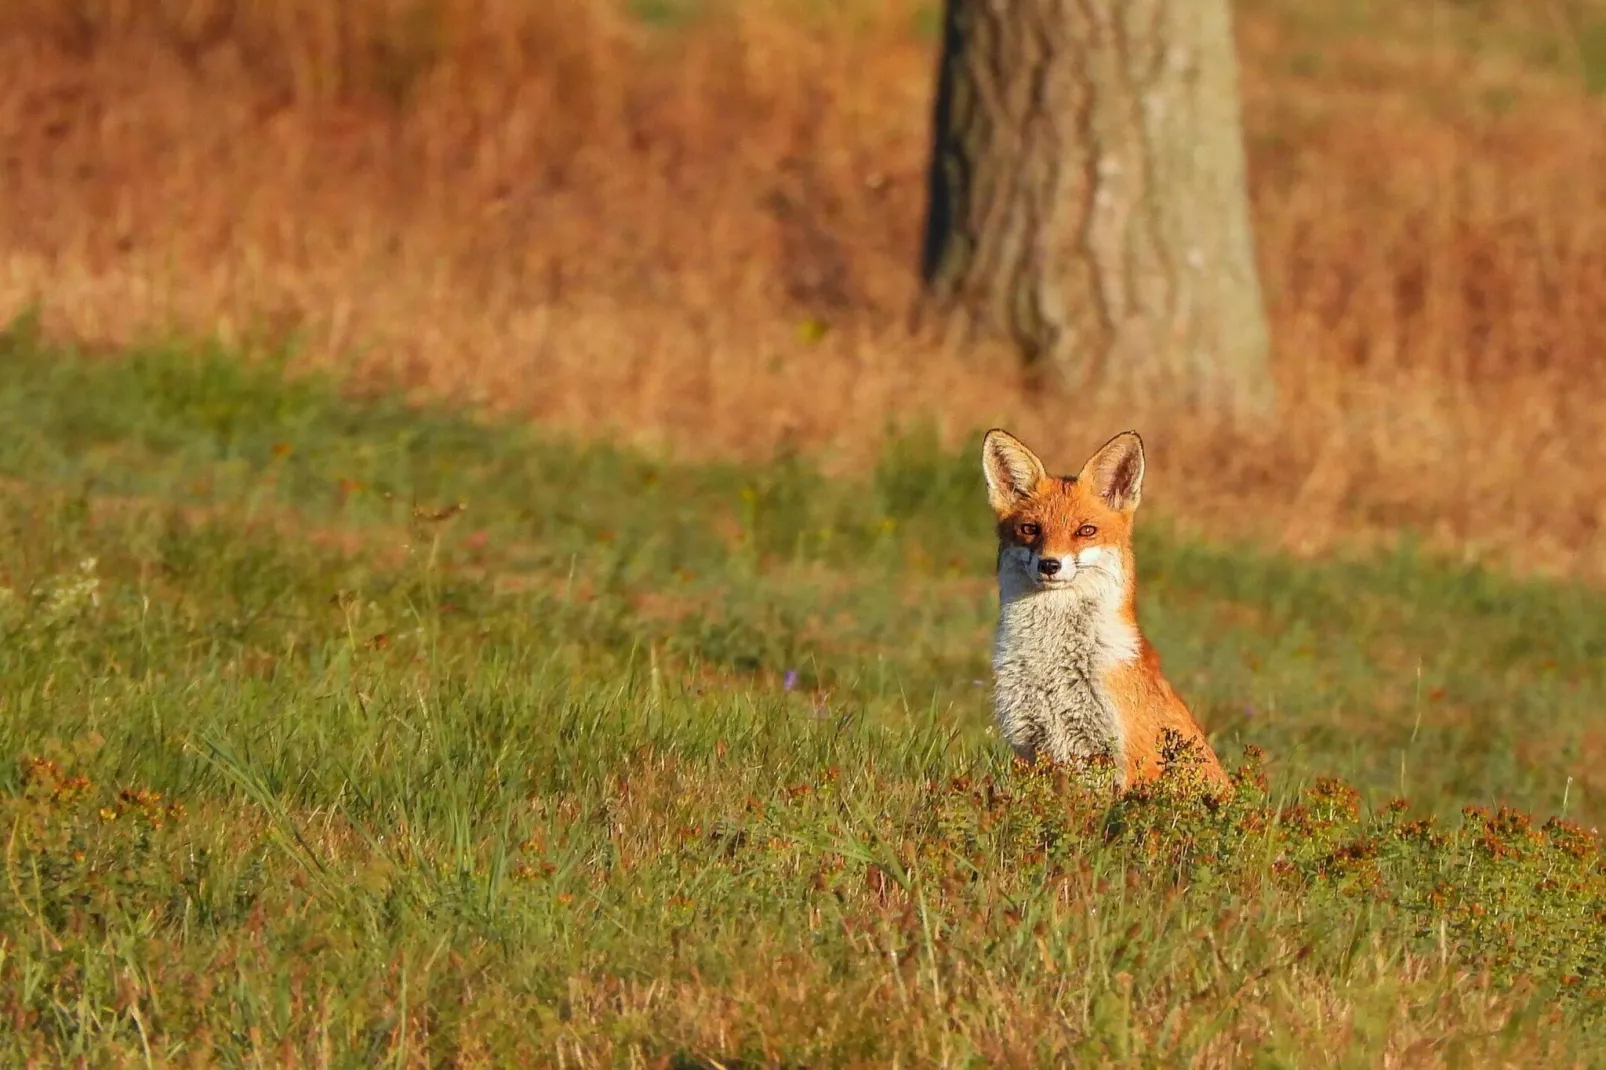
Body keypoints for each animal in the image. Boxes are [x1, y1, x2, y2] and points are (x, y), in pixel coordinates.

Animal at [976, 427, 1226, 790]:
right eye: (1030, 529)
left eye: (1086, 531)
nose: (1049, 564)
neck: (1051, 665)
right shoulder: (1030, 744)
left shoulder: (1124, 757)